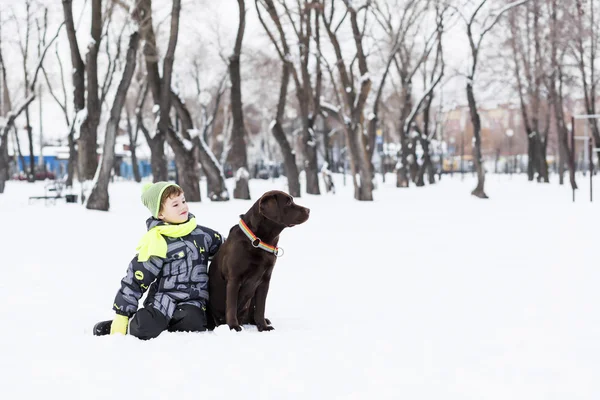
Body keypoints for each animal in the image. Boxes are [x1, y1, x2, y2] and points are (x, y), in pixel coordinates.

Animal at [206, 191, 310, 332]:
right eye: (288, 202)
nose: (308, 210)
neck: (258, 241)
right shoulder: (234, 279)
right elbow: (231, 306)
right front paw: (233, 326)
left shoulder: (264, 281)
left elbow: (260, 308)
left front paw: (263, 327)